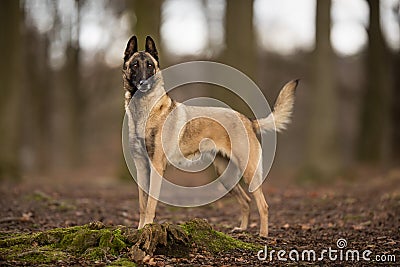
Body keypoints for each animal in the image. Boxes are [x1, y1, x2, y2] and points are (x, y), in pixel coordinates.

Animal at [122, 35, 296, 237]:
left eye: (150, 65)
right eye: (135, 65)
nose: (144, 83)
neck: (144, 110)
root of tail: (248, 120)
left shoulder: (156, 166)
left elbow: (150, 204)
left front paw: (147, 228)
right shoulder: (142, 168)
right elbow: (142, 204)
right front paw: (140, 230)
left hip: (249, 172)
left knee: (263, 204)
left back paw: (263, 234)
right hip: (225, 176)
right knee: (246, 201)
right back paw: (242, 228)